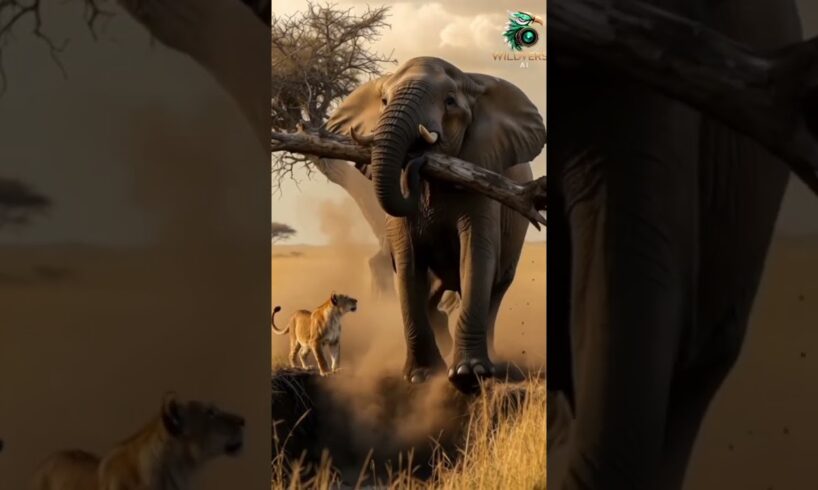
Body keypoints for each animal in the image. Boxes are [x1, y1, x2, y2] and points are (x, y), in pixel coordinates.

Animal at [326, 57, 546, 389]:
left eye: (450, 102)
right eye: (384, 101)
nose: (417, 157)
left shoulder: (482, 176)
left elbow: (477, 255)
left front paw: (469, 373)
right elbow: (408, 264)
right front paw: (423, 376)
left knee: (496, 290)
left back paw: (492, 362)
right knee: (433, 296)